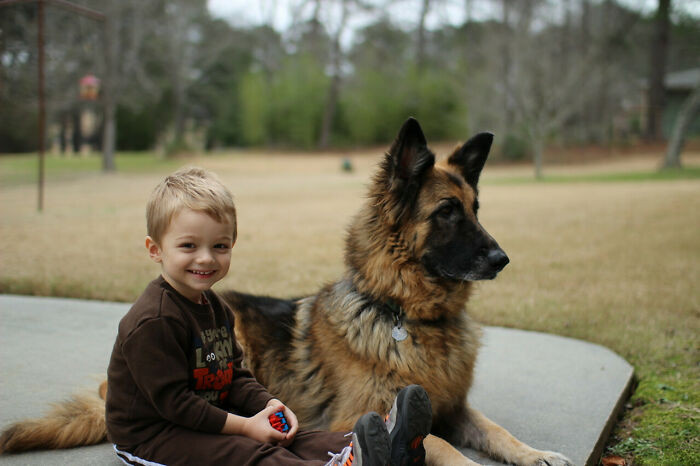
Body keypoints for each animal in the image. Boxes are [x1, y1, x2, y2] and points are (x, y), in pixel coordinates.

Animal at [0, 120, 568, 466]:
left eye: (476, 209)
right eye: (447, 212)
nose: (502, 259)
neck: (403, 314)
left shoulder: (454, 407)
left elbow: (496, 430)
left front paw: (536, 453)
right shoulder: (360, 414)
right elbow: (444, 446)